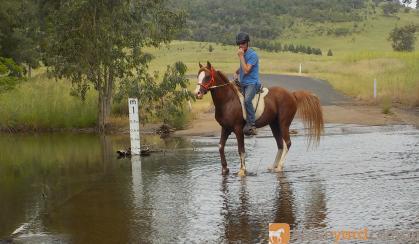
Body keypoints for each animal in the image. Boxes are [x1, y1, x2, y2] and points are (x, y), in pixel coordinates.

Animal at [194, 60, 324, 175]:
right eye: (198, 76)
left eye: (207, 77)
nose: (197, 93)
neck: (228, 100)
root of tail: (292, 94)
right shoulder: (225, 128)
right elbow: (221, 146)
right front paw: (225, 169)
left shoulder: (238, 129)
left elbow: (241, 149)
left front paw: (242, 170)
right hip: (274, 125)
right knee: (280, 144)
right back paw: (273, 166)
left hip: (283, 124)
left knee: (287, 143)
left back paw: (279, 167)